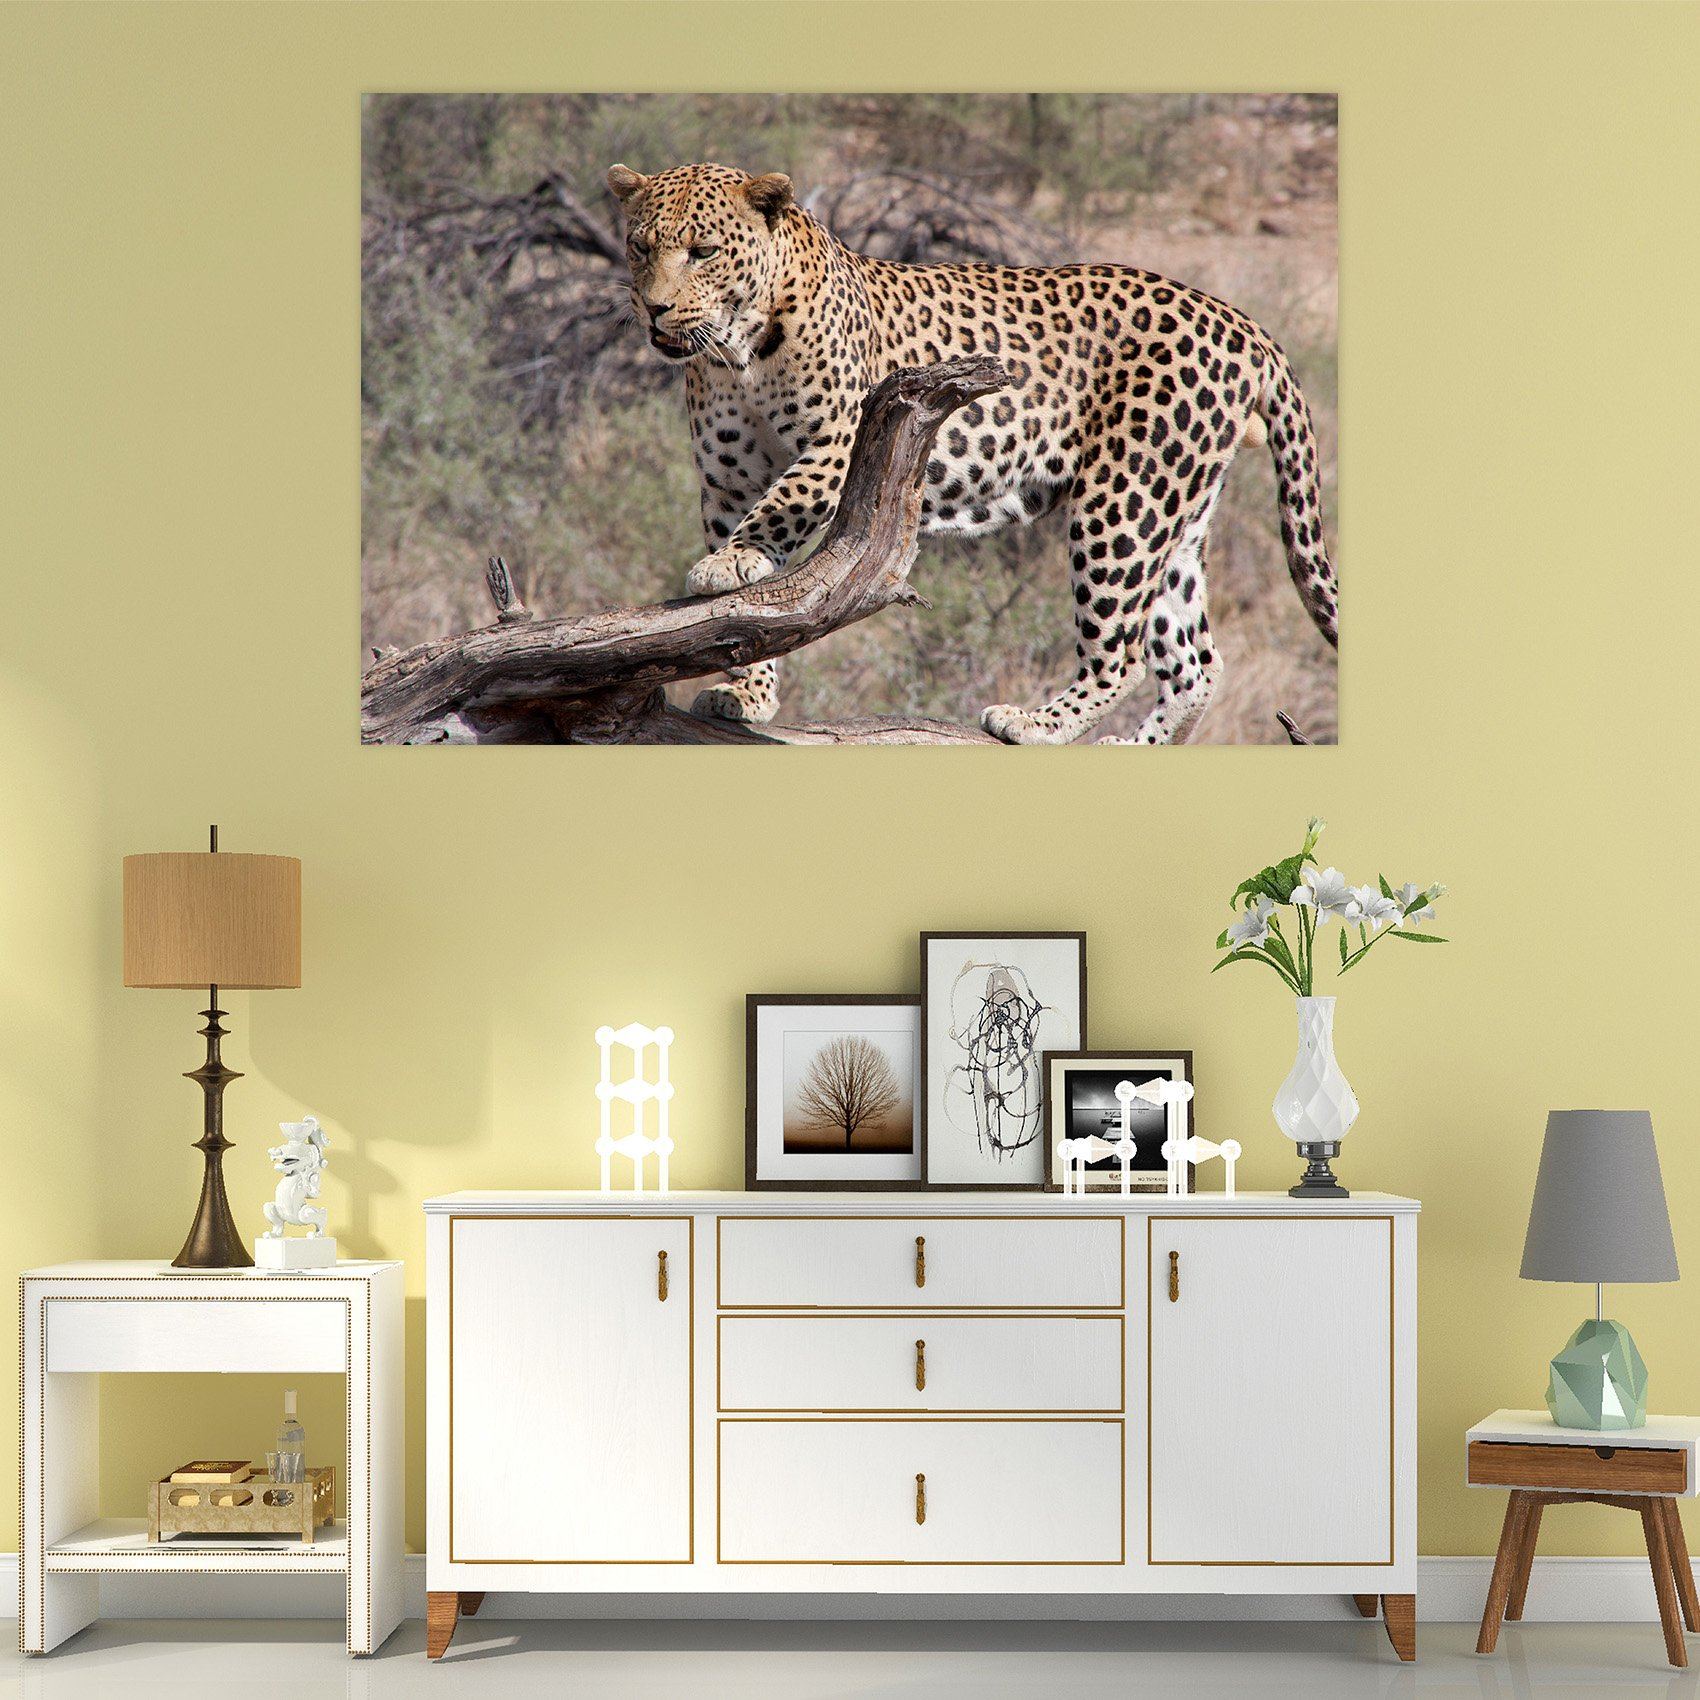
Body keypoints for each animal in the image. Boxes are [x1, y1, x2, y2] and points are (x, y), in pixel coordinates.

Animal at [607, 161, 1336, 744]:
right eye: (640, 247)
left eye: (703, 251)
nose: (655, 309)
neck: (737, 353)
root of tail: (1241, 321)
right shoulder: (727, 481)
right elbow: (750, 613)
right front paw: (747, 691)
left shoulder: (840, 440)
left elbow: (783, 506)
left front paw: (728, 562)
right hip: (1177, 512)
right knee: (1196, 662)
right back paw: (1132, 746)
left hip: (1126, 501)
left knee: (1123, 651)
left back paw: (1036, 723)